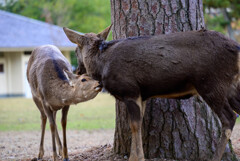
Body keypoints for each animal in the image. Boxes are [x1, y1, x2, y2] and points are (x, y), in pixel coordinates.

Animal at [63, 26, 240, 161]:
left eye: (76, 50)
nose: (77, 71)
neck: (101, 66)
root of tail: (236, 48)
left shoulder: (130, 90)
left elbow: (134, 125)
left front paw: (137, 158)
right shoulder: (143, 95)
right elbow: (139, 124)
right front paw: (135, 156)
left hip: (211, 83)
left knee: (229, 118)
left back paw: (215, 157)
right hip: (231, 86)